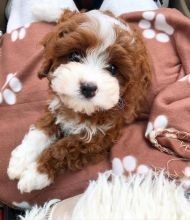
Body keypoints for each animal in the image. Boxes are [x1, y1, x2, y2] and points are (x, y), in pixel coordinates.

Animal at [7, 9, 151, 192]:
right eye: (75, 55)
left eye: (113, 69)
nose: (88, 87)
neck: (80, 109)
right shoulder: (56, 106)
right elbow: (41, 130)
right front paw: (20, 159)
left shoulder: (98, 139)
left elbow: (63, 149)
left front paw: (36, 173)